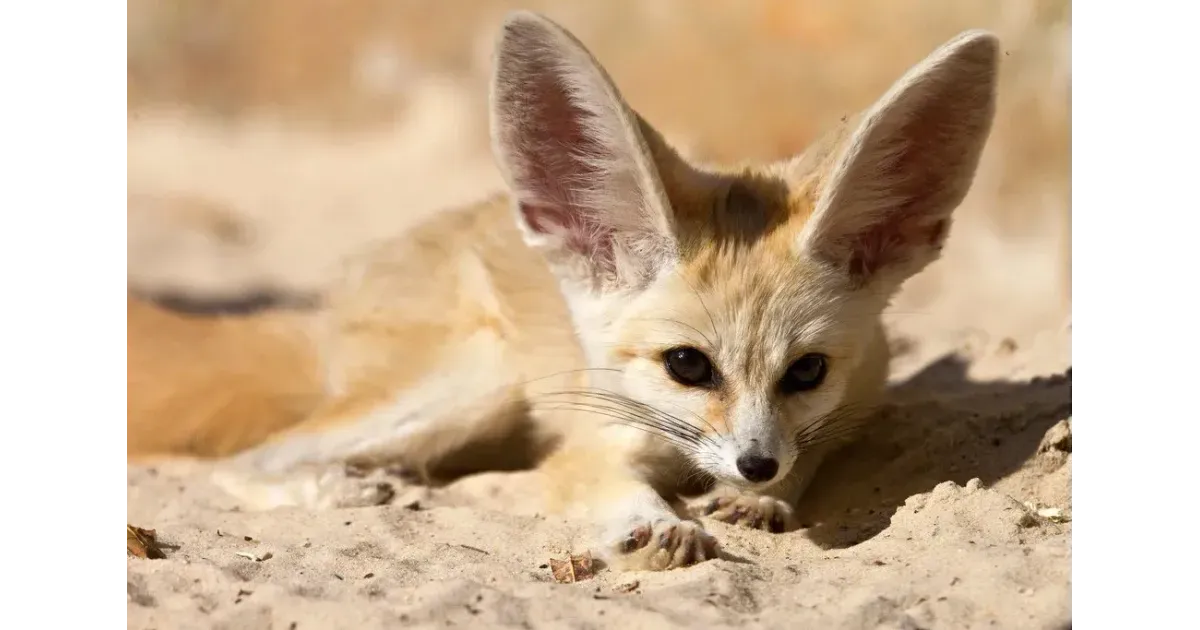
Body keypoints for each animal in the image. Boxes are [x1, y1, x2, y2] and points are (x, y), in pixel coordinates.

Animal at [126, 9, 998, 568]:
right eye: (688, 366)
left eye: (807, 371)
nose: (753, 464)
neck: (681, 454)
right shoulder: (590, 437)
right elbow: (596, 482)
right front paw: (656, 524)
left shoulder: (846, 410)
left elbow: (808, 455)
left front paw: (766, 499)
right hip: (476, 385)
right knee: (253, 458)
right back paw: (342, 487)